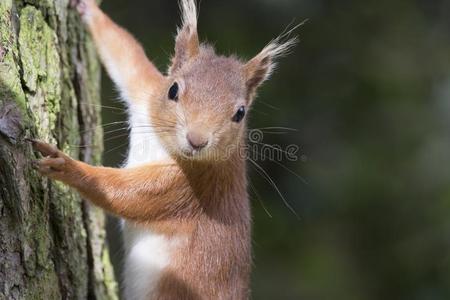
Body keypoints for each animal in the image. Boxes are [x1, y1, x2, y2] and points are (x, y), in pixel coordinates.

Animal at [30, 1, 298, 298]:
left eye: (240, 113)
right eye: (173, 90)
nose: (197, 140)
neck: (162, 143)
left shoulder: (190, 188)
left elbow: (125, 195)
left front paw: (65, 165)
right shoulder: (147, 93)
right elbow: (127, 55)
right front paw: (88, 11)